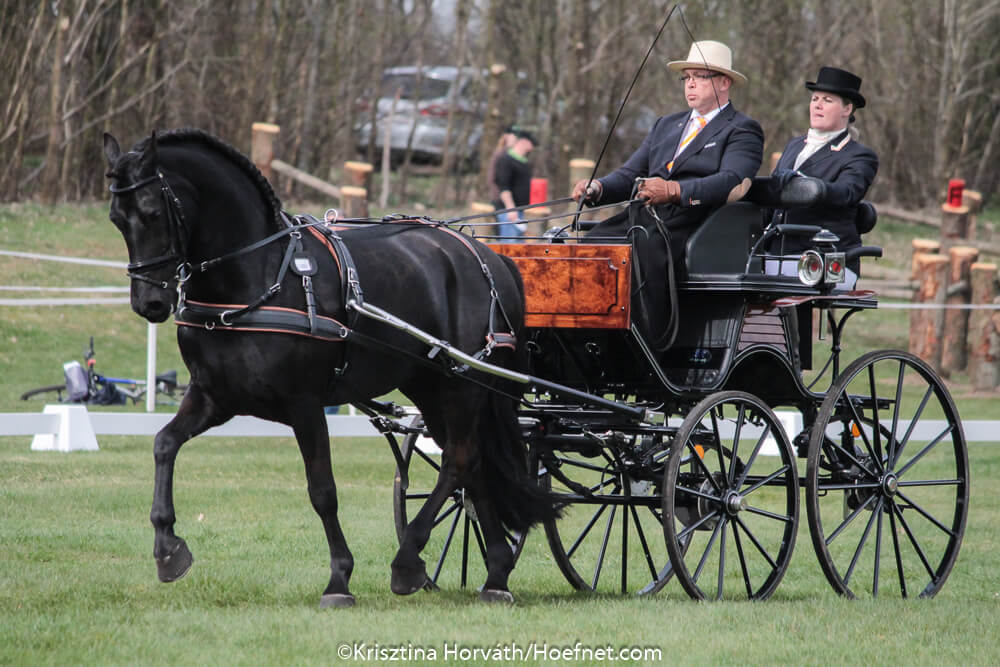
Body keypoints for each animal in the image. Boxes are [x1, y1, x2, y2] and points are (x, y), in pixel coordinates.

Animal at [105, 128, 552, 608]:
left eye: (152, 213)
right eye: (116, 218)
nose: (149, 303)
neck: (257, 275)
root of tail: (487, 256)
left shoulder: (304, 403)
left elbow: (322, 490)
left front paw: (340, 578)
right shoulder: (214, 396)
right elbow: (163, 444)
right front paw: (167, 548)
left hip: (463, 385)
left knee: (459, 460)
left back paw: (408, 560)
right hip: (431, 387)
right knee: (473, 464)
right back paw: (496, 573)